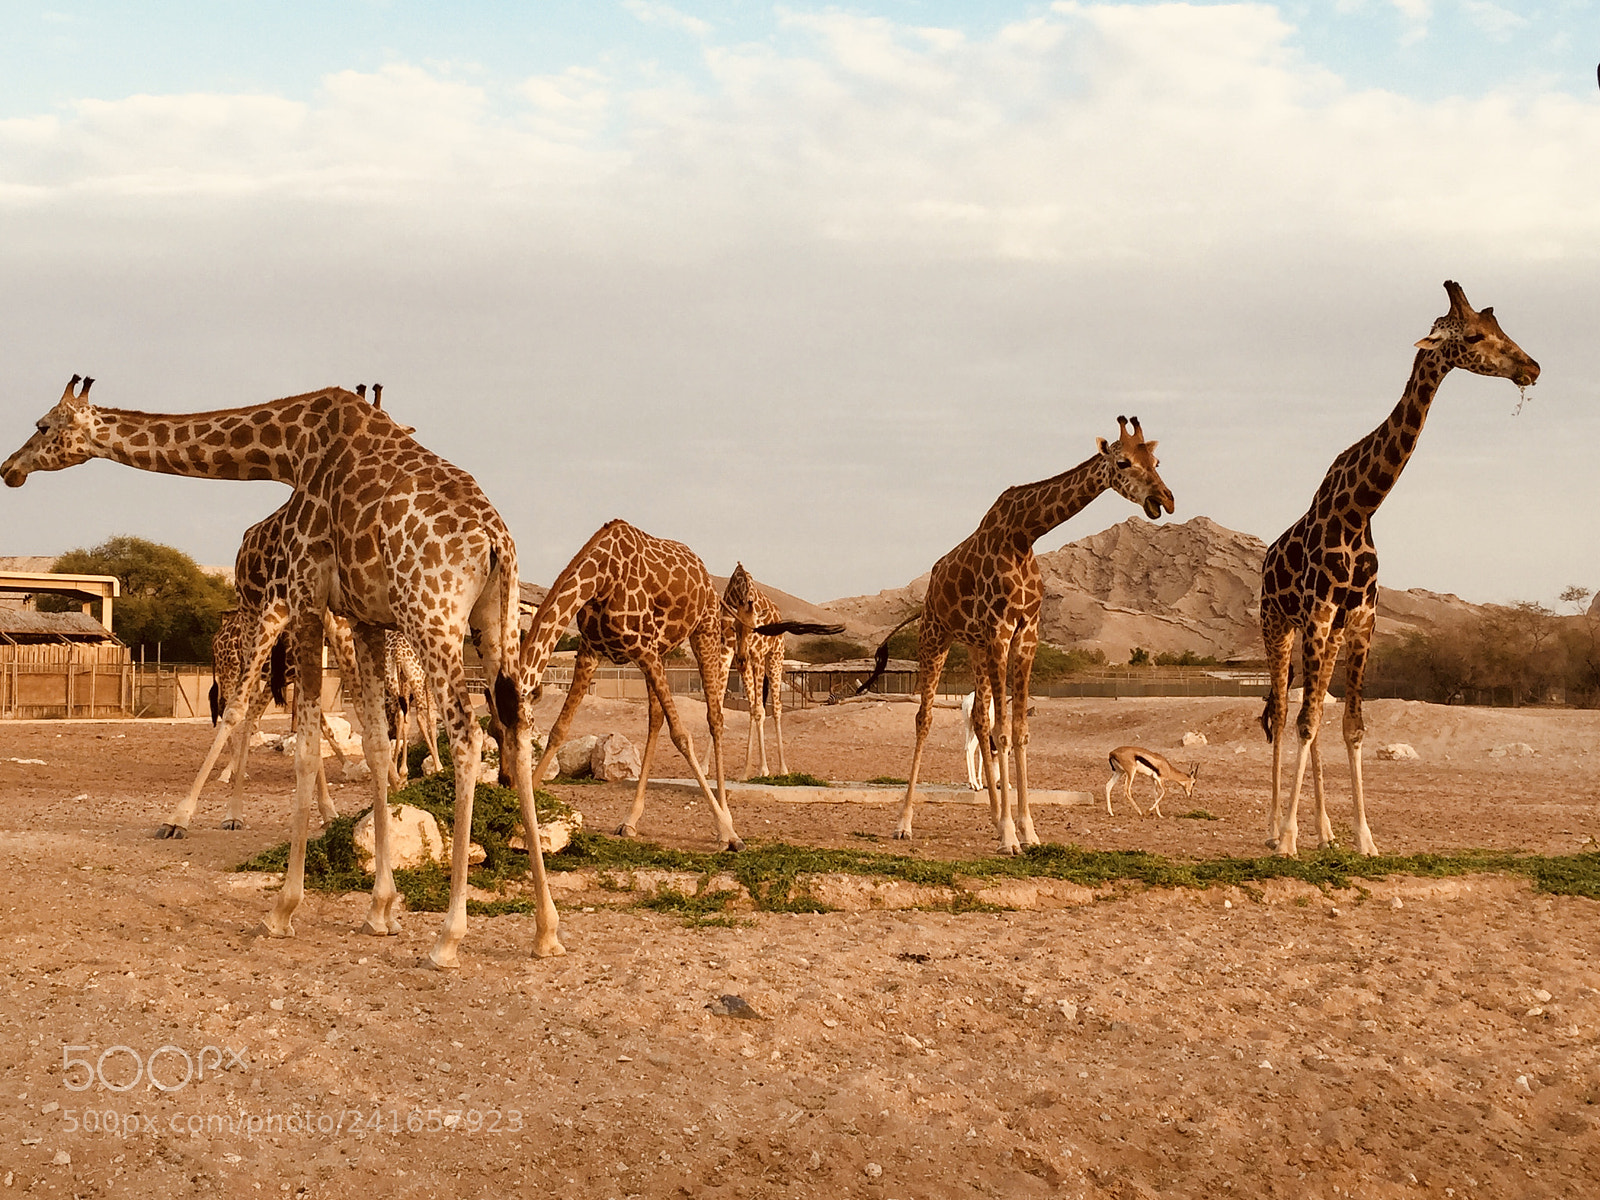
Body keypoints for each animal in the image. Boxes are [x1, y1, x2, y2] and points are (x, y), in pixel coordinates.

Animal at [2, 378, 563, 967]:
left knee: (467, 733)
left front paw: (282, 910)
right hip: (496, 624)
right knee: (514, 730)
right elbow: (375, 743)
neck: (289, 450)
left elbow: (306, 745)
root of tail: (494, 541)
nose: (9, 468)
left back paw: (449, 936)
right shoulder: (365, 618)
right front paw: (380, 910)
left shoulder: (305, 594)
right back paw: (546, 929)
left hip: (432, 615)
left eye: (42, 425)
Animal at [520, 519, 744, 849]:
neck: (600, 578)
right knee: (656, 717)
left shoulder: (643, 648)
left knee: (714, 717)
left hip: (703, 629)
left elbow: (682, 735)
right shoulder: (590, 650)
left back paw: (725, 822)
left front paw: (728, 832)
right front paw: (520, 818)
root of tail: (704, 572)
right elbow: (559, 728)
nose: (506, 777)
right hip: (659, 652)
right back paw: (630, 820)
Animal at [719, 563, 843, 779]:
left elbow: (760, 709)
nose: (741, 658)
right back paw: (748, 770)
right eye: (734, 628)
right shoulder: (730, 653)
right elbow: (735, 705)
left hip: (774, 658)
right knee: (755, 707)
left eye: (754, 629)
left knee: (775, 707)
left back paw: (782, 768)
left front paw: (764, 769)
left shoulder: (756, 655)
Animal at [857, 417, 1174, 853]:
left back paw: (992, 817)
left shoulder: (1026, 635)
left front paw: (1027, 831)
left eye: (1156, 461)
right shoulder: (1000, 630)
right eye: (1123, 462)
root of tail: (931, 587)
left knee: (978, 717)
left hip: (975, 648)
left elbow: (1020, 732)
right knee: (925, 718)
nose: (1165, 499)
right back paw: (904, 822)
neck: (1025, 535)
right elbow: (1003, 732)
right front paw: (1010, 836)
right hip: (936, 636)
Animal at [1259, 281, 1539, 857]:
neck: (1358, 511)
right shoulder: (1317, 614)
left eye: (1501, 328)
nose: (1533, 367)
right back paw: (1274, 829)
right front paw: (1291, 839)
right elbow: (1305, 721)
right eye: (1474, 336)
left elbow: (1351, 725)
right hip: (1276, 627)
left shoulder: (1359, 620)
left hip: (1324, 636)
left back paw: (1325, 831)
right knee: (1281, 711)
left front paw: (1363, 839)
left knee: (1311, 712)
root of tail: (1266, 558)